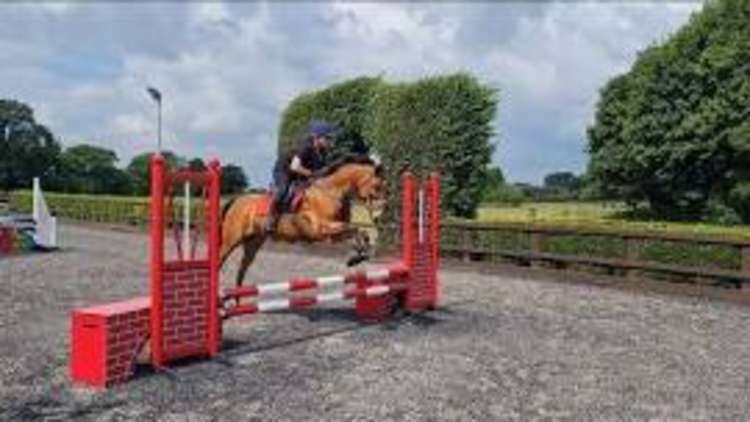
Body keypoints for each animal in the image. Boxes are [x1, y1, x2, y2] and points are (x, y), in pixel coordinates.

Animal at [216, 155, 382, 290]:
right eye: (377, 186)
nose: (378, 217)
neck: (331, 192)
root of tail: (236, 200)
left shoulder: (333, 235)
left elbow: (358, 231)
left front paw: (358, 256)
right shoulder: (321, 228)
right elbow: (354, 228)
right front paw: (358, 254)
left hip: (253, 243)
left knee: (242, 269)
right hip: (231, 239)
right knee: (220, 259)